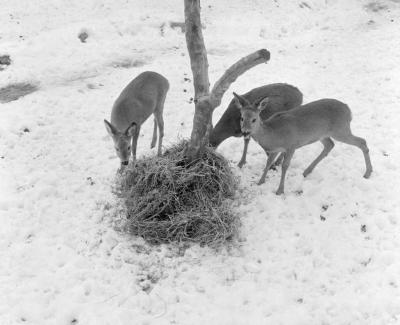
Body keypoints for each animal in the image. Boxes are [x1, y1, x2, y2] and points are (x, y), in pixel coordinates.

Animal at [233, 93, 374, 195]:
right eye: (241, 118)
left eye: (254, 119)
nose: (245, 132)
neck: (273, 134)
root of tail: (348, 110)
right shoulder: (275, 149)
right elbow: (268, 163)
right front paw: (260, 182)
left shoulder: (291, 145)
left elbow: (285, 166)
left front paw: (280, 190)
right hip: (322, 134)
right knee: (330, 145)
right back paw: (306, 171)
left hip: (341, 129)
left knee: (362, 141)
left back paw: (367, 173)